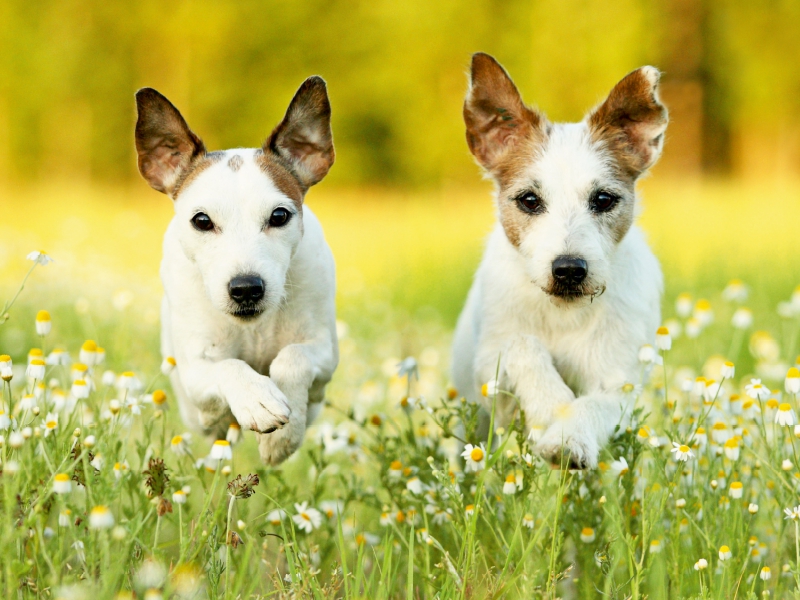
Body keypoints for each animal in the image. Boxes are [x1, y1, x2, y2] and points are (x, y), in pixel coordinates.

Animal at [135, 78, 338, 464]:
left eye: (279, 215)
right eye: (202, 220)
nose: (246, 288)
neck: (253, 328)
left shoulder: (324, 352)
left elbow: (293, 358)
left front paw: (282, 437)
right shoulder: (195, 373)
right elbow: (227, 367)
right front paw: (256, 398)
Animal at [450, 54, 668, 468]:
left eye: (603, 199)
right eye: (529, 200)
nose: (568, 270)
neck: (563, 314)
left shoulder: (618, 381)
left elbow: (594, 405)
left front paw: (568, 435)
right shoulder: (490, 363)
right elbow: (523, 344)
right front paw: (552, 404)